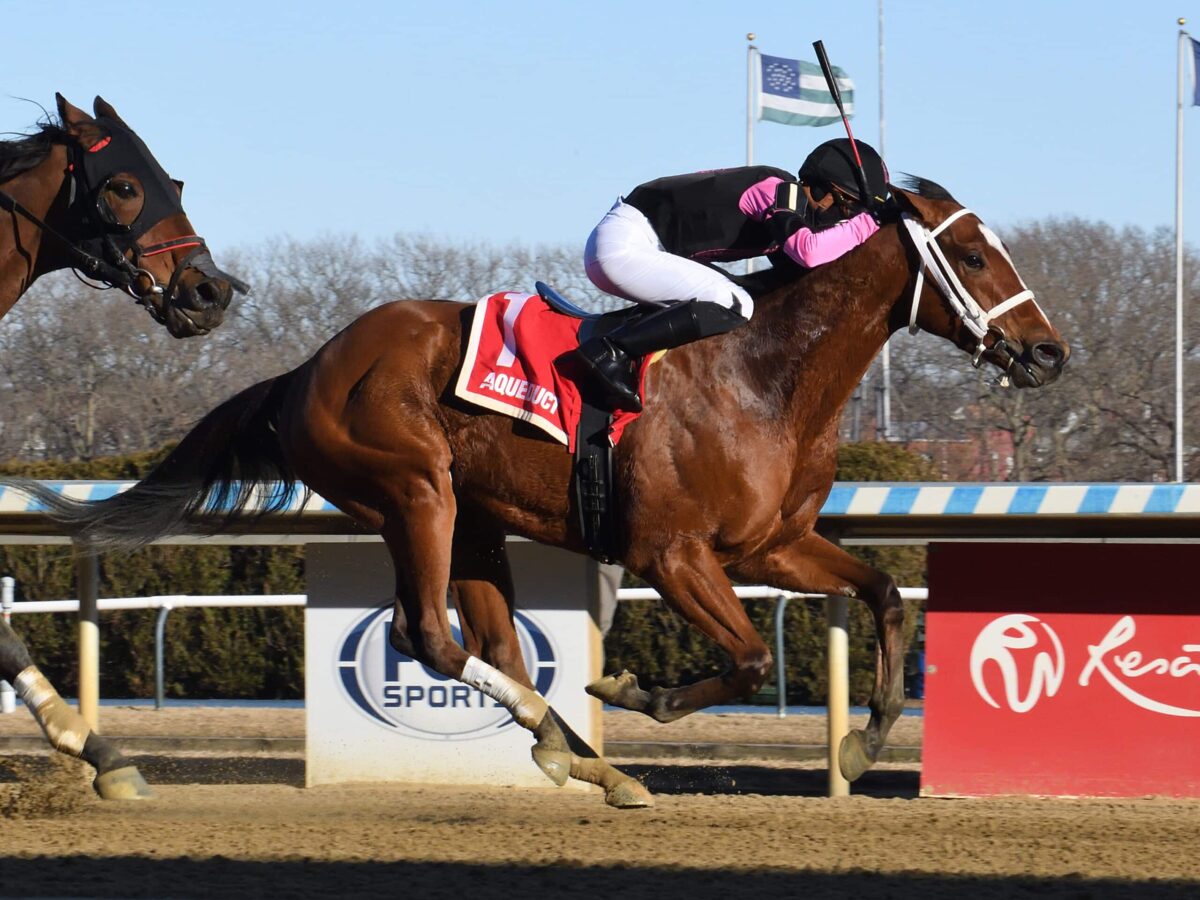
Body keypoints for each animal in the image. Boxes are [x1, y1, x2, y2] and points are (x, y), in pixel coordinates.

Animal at [14, 177, 1070, 811]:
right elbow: (741, 660)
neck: (763, 375)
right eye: (973, 256)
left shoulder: (769, 544)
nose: (1050, 352)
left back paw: (583, 759)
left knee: (489, 645)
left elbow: (885, 596)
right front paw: (637, 688)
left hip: (476, 523)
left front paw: (862, 746)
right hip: (417, 492)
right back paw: (583, 752)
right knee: (428, 635)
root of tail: (308, 368)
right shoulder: (671, 554)